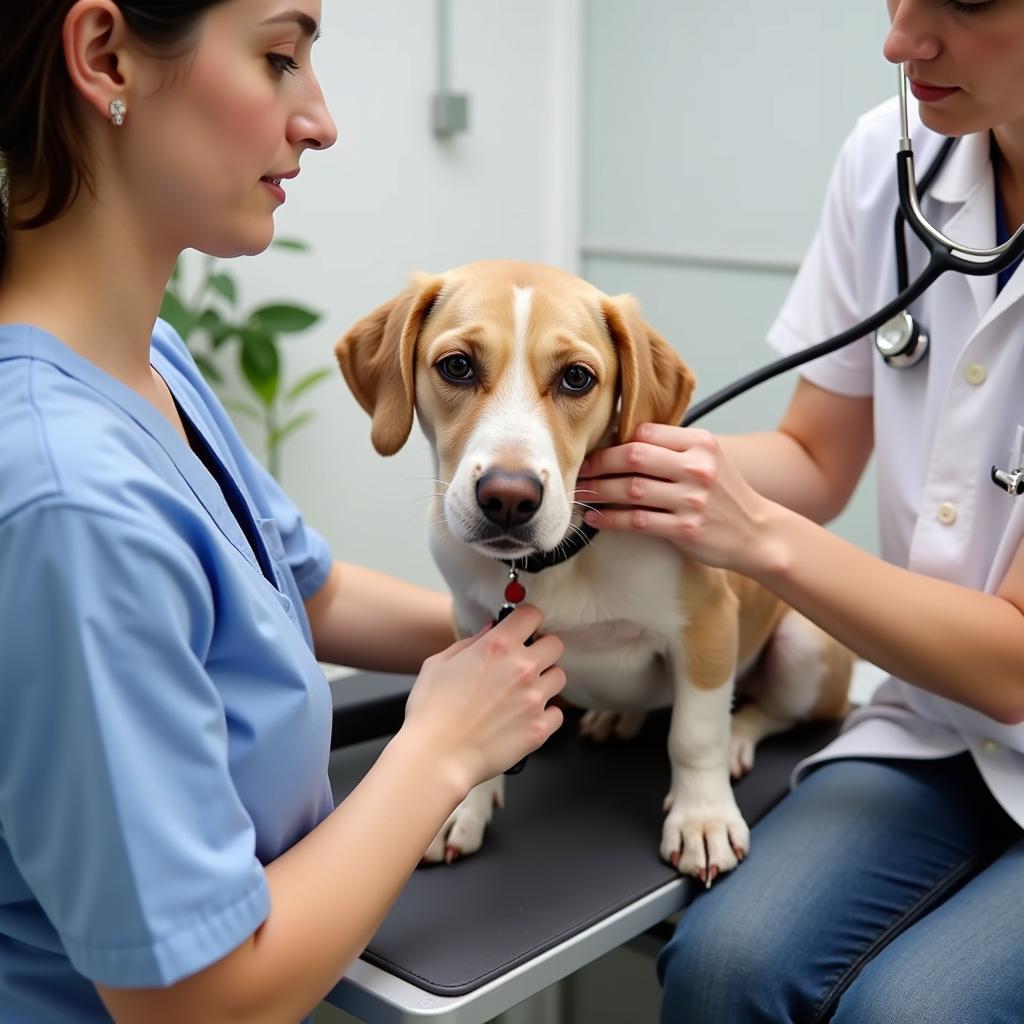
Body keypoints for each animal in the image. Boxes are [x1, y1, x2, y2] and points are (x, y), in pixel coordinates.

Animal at [333, 258, 847, 880]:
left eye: (577, 378)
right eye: (457, 366)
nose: (508, 499)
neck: (554, 560)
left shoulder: (709, 623)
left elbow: (694, 734)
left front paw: (702, 818)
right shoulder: (473, 625)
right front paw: (463, 808)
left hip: (804, 651)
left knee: (767, 711)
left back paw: (736, 741)